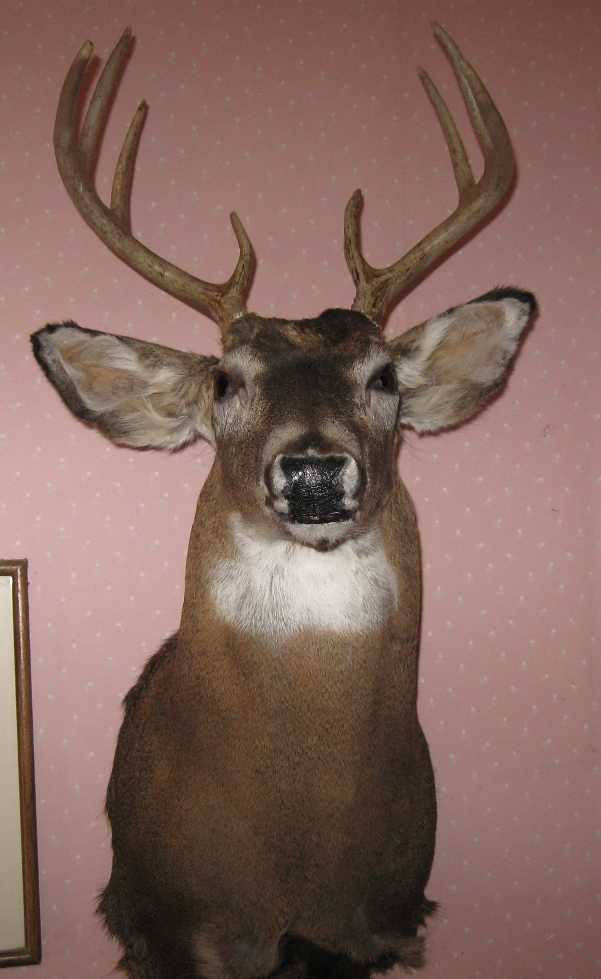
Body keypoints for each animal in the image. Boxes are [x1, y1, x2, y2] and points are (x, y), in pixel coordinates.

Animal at [32, 23, 536, 979]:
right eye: (225, 380)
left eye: (383, 378)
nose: (311, 472)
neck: (296, 845)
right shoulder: (168, 923)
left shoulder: (379, 920)